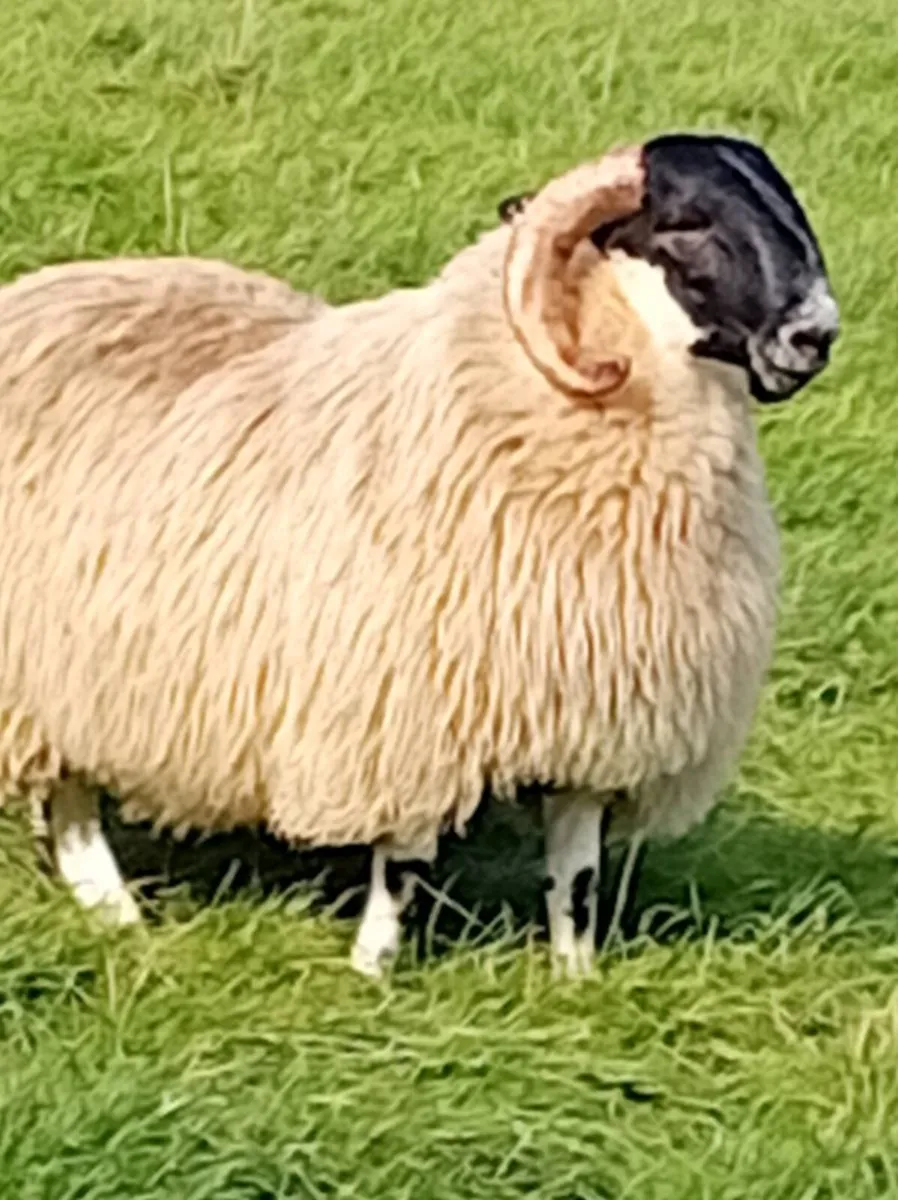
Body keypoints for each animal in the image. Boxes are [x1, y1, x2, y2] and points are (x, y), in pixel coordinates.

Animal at [0, 135, 837, 979]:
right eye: (686, 224)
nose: (816, 334)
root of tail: (33, 292)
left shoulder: (593, 731)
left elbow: (577, 876)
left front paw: (576, 979)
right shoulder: (411, 716)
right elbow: (401, 866)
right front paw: (371, 971)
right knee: (71, 803)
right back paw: (115, 908)